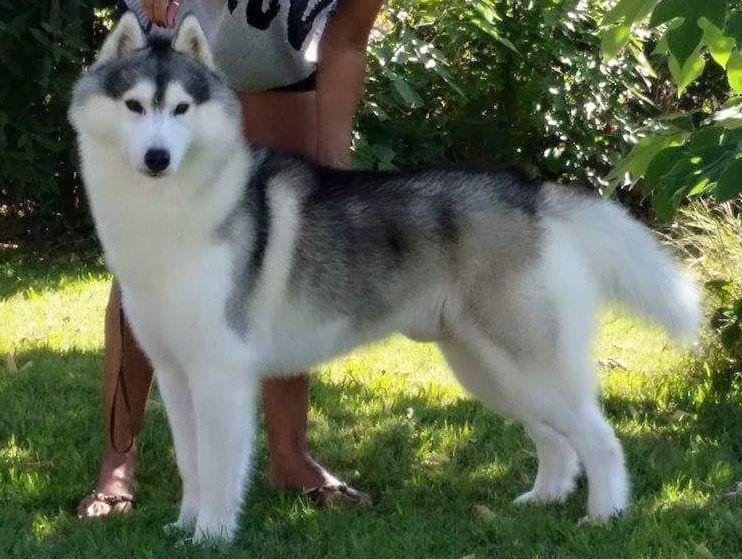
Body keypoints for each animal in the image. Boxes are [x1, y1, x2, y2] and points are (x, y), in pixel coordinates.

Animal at [69, 12, 700, 545]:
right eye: (134, 106)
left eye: (180, 109)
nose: (156, 158)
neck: (167, 215)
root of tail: (528, 193)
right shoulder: (176, 373)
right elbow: (191, 464)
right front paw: (184, 527)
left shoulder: (220, 374)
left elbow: (221, 468)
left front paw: (212, 537)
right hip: (489, 370)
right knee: (555, 440)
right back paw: (543, 499)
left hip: (529, 364)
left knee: (599, 438)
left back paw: (605, 515)